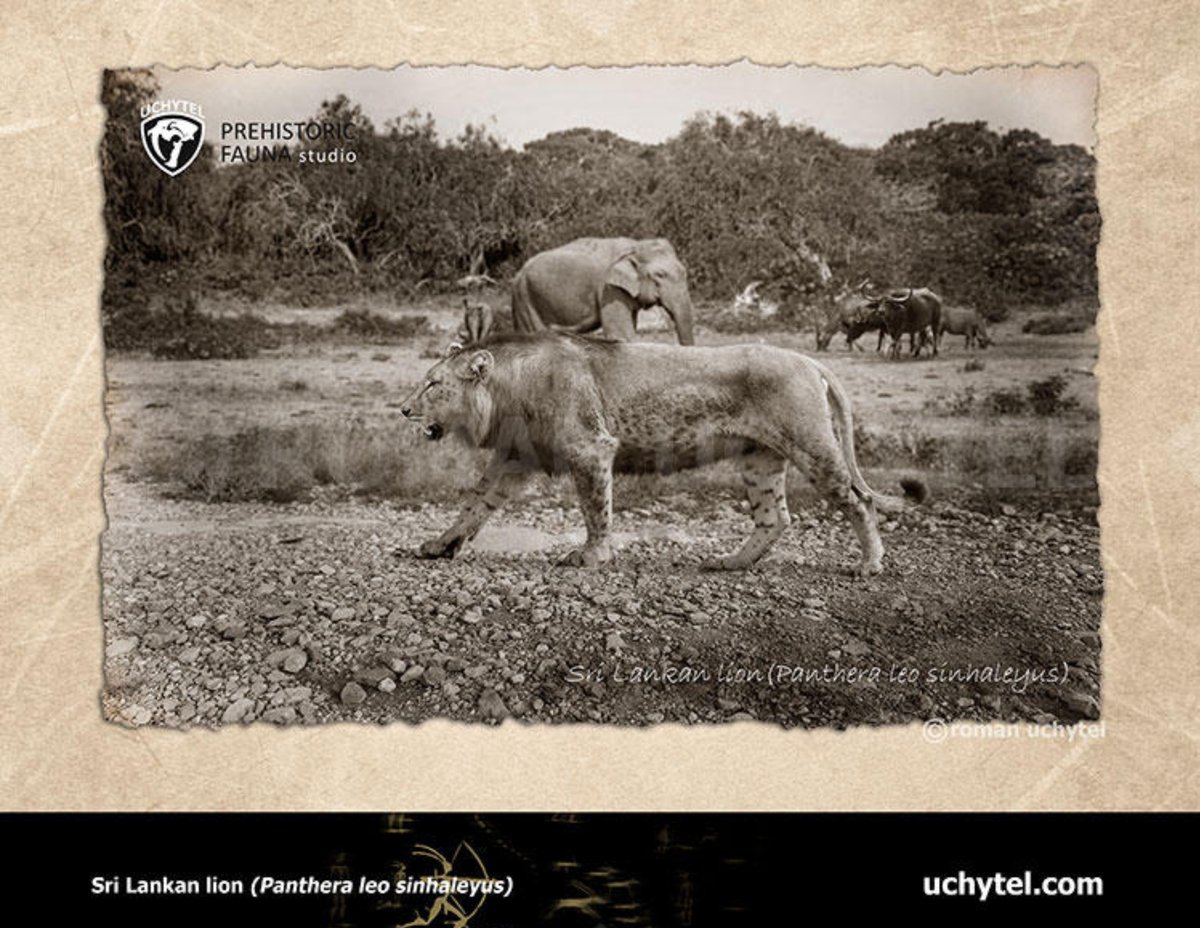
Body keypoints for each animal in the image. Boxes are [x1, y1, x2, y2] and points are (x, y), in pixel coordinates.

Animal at [398, 331, 925, 575]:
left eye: (434, 384)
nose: (403, 409)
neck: (507, 390)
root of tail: (811, 360)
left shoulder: (591, 447)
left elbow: (596, 507)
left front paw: (591, 556)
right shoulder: (517, 457)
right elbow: (476, 504)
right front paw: (440, 545)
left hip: (811, 442)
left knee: (858, 500)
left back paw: (870, 563)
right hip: (760, 457)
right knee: (774, 517)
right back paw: (730, 563)